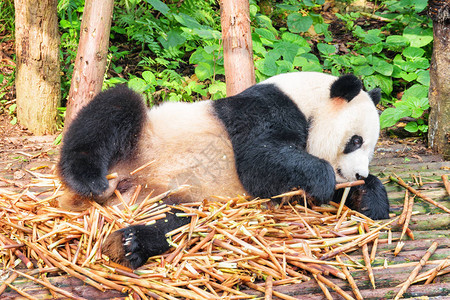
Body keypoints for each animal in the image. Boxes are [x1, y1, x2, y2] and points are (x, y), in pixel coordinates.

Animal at [58, 71, 388, 268]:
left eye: (371, 148)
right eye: (355, 141)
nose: (358, 175)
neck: (307, 100)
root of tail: (125, 187)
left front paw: (369, 200)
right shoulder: (263, 111)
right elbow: (259, 163)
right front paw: (323, 178)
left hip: (177, 199)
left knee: (176, 222)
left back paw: (129, 244)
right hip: (141, 138)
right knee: (114, 108)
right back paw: (88, 179)